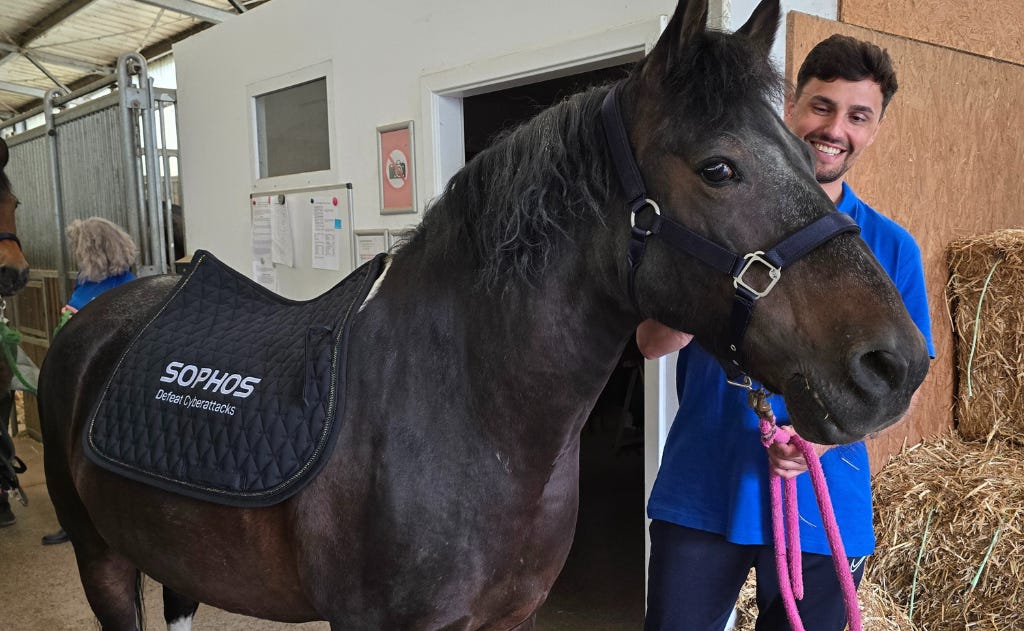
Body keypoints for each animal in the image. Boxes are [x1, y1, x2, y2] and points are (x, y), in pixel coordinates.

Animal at [38, 0, 930, 628]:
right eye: (718, 167)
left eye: (805, 149)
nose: (895, 365)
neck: (467, 409)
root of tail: (94, 323)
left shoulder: (510, 616)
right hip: (101, 560)